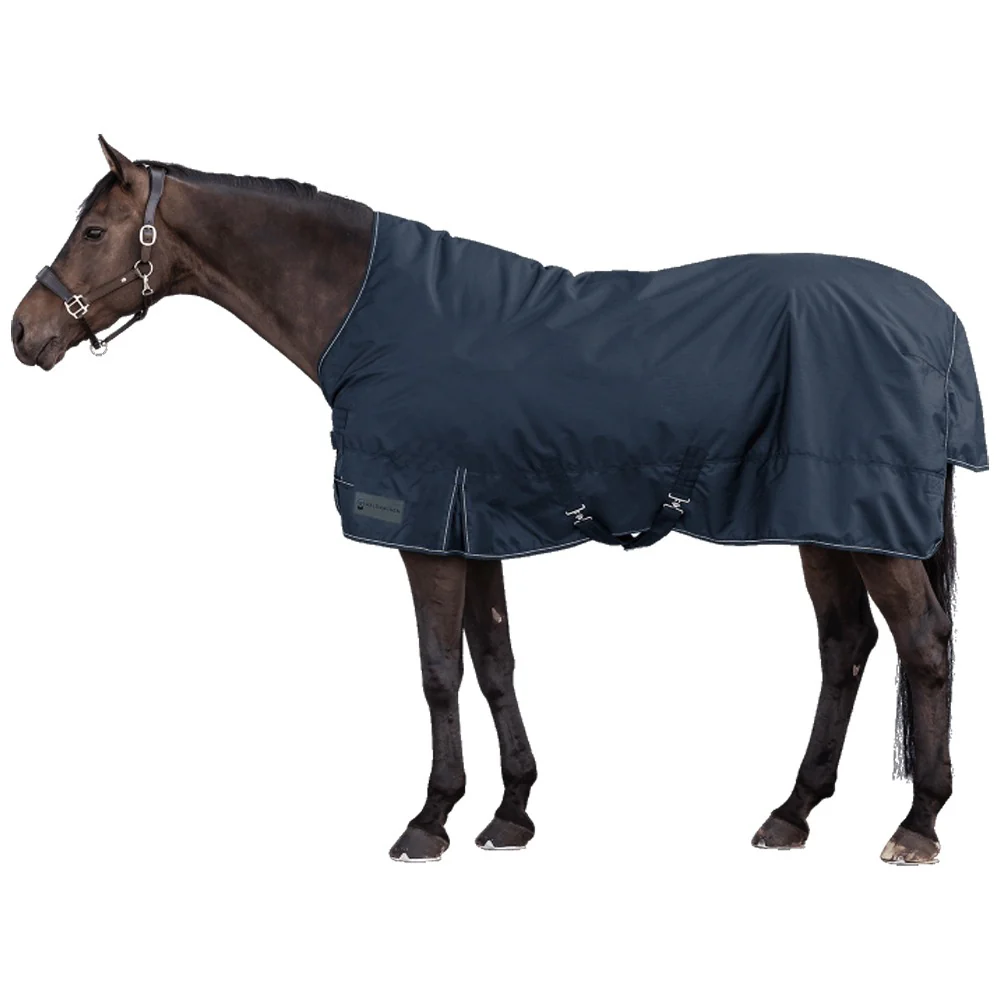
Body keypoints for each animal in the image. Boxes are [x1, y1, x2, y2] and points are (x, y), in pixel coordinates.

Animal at [11, 136, 988, 865]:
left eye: (93, 231)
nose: (26, 331)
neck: (373, 315)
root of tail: (936, 319)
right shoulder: (473, 523)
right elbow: (494, 664)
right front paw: (511, 812)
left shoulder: (427, 532)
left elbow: (439, 671)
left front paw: (429, 818)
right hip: (825, 520)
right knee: (846, 646)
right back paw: (793, 811)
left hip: (870, 529)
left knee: (923, 644)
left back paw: (917, 825)